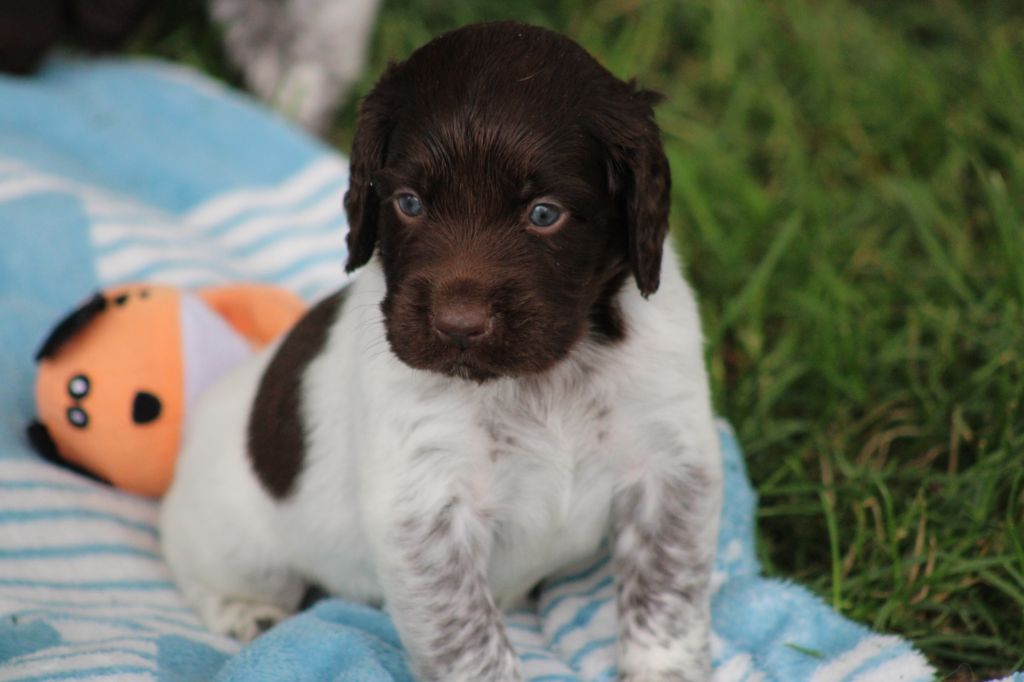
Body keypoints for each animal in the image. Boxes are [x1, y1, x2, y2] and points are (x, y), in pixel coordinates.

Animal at [159, 21, 720, 679]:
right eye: (409, 203)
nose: (458, 325)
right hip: (237, 540)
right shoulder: (427, 516)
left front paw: (666, 668)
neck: (544, 380)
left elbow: (666, 597)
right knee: (196, 564)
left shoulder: (671, 471)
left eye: (545, 214)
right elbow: (471, 644)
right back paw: (243, 611)